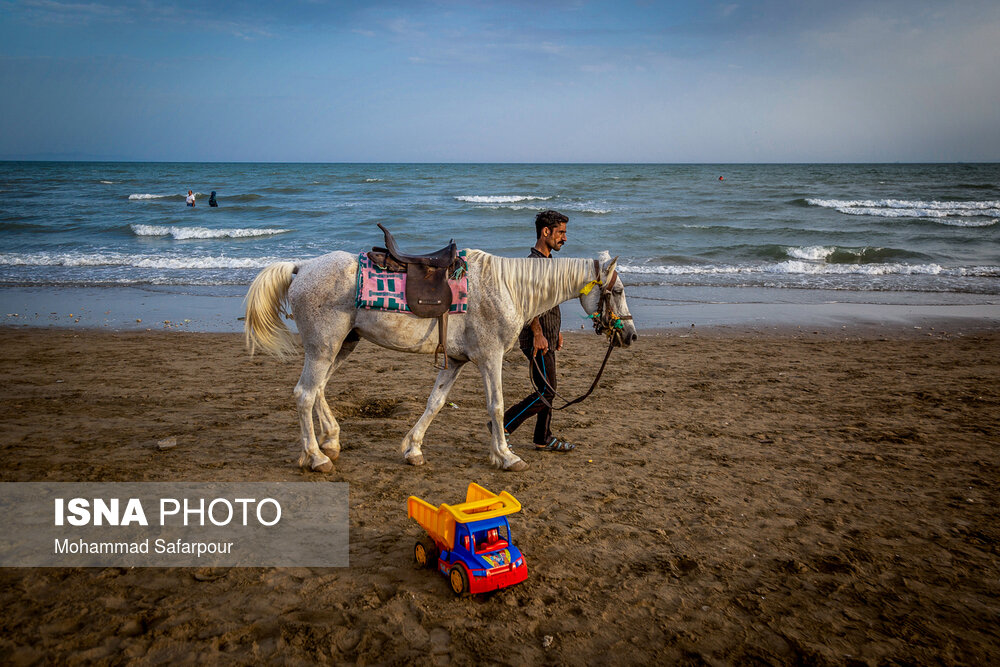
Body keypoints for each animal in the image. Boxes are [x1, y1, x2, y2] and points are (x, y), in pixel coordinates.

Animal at [242, 248, 636, 472]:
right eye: (617, 290)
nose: (630, 335)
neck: (507, 287)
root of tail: (301, 267)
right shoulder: (489, 358)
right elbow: (496, 406)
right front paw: (505, 456)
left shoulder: (455, 362)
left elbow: (435, 403)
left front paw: (412, 449)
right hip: (323, 347)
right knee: (304, 394)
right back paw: (316, 457)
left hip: (341, 346)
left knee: (318, 390)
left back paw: (332, 441)